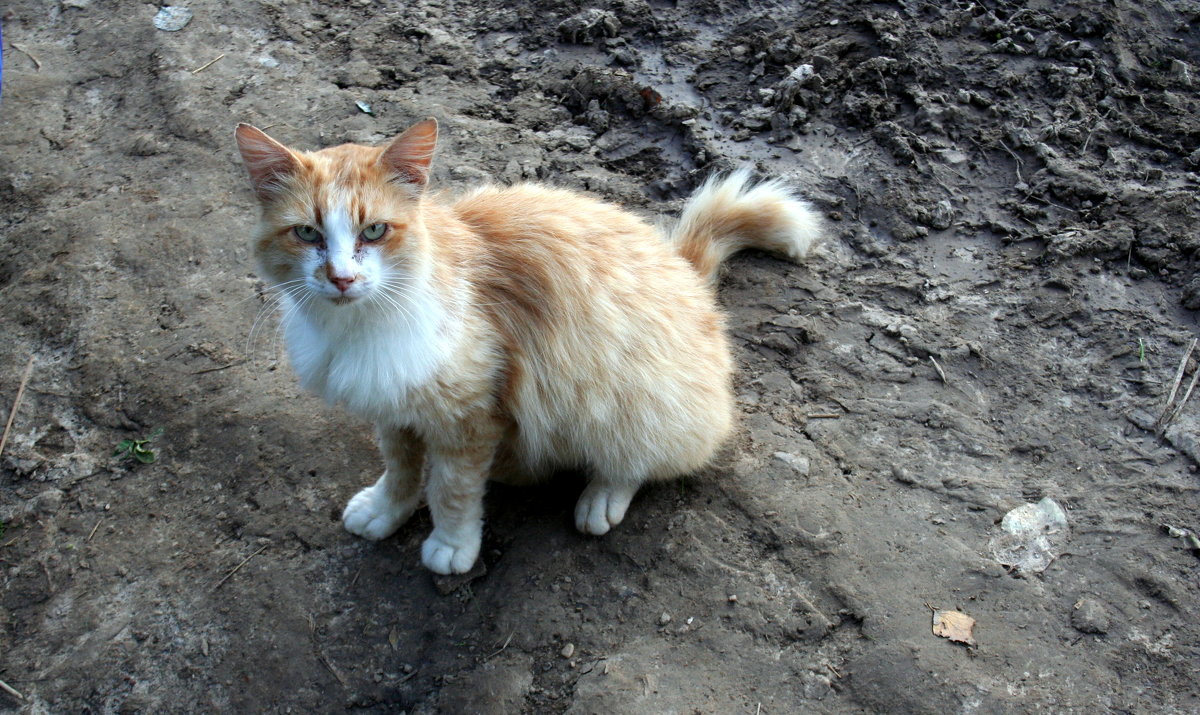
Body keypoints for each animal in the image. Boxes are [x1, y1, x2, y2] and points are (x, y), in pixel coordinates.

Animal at [232, 117, 820, 575]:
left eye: (374, 231)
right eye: (307, 234)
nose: (341, 279)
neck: (358, 324)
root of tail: (685, 270)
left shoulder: (469, 416)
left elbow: (452, 491)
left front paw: (451, 545)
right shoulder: (393, 404)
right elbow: (399, 470)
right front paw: (384, 511)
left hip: (632, 399)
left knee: (642, 458)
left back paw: (601, 498)